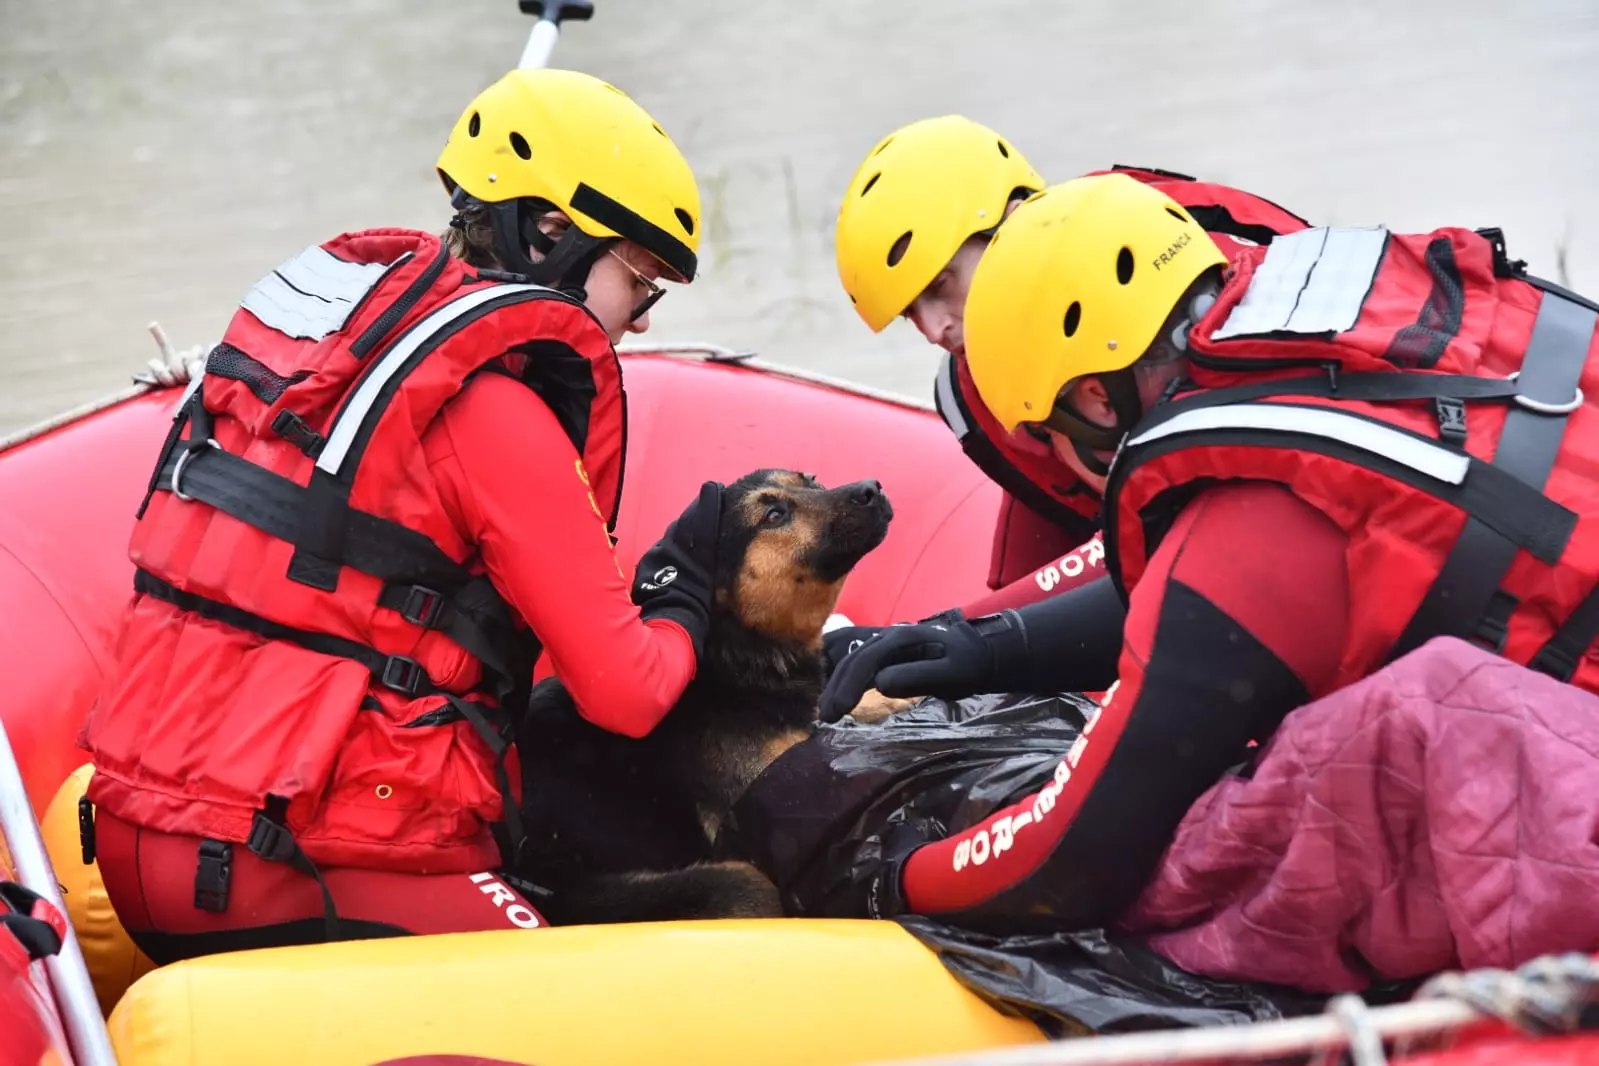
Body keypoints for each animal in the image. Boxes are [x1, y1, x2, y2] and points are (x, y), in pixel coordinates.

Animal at [511, 466, 895, 926]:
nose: (873, 489)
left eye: (811, 480)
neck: (734, 653)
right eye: (774, 515)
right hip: (732, 885)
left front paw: (890, 698)